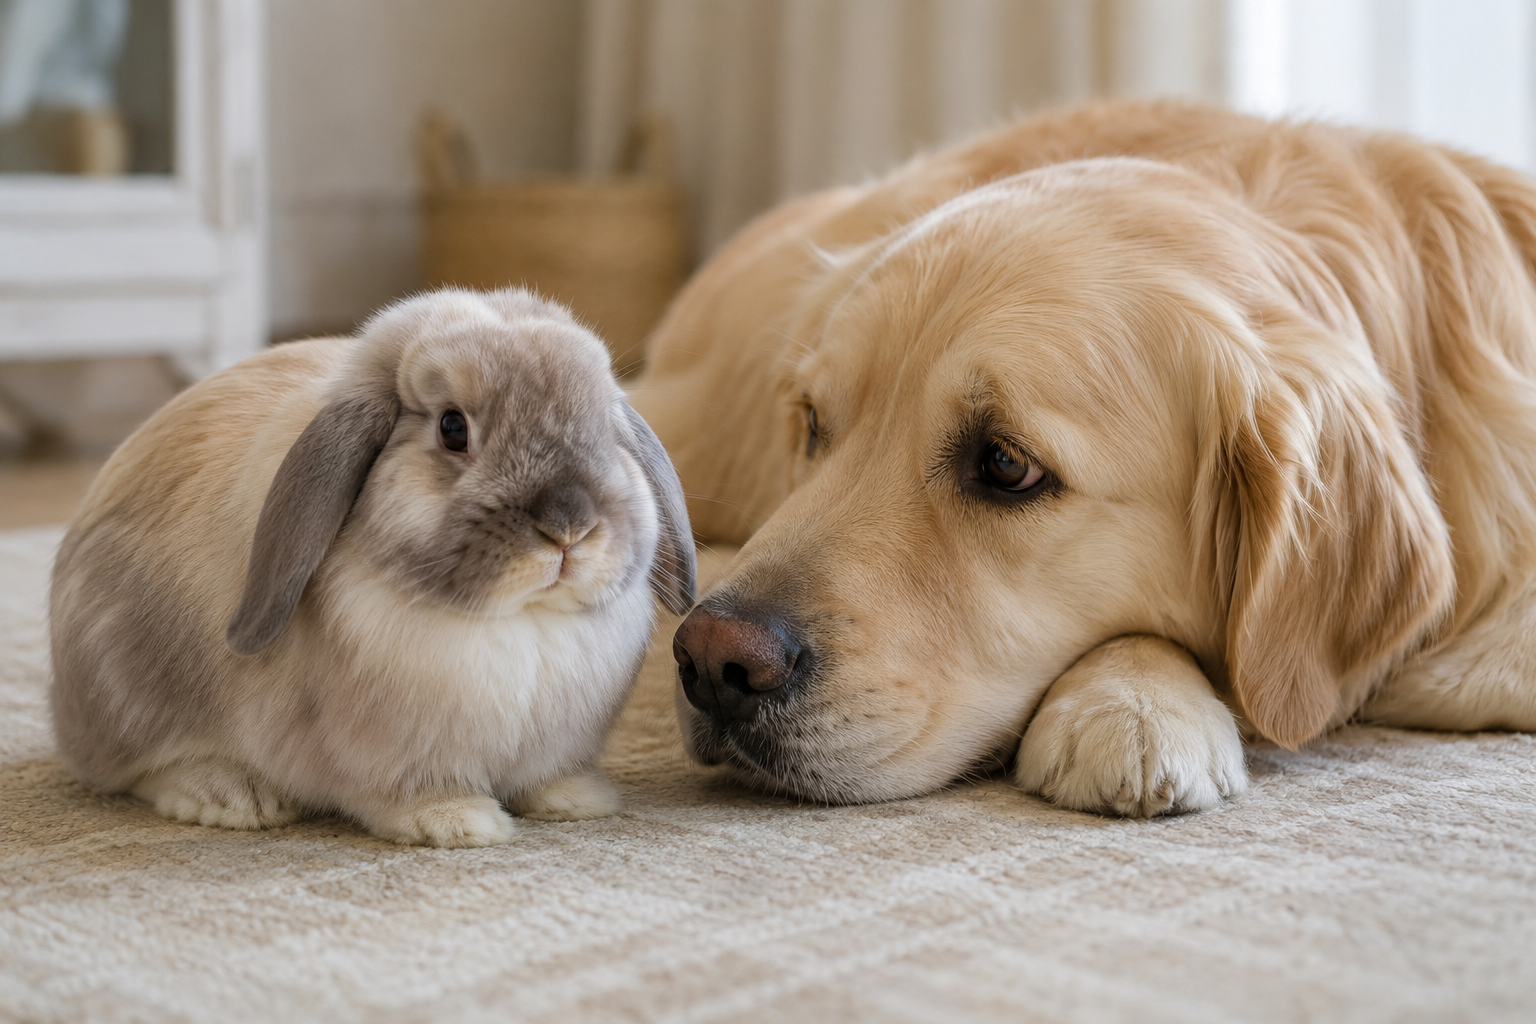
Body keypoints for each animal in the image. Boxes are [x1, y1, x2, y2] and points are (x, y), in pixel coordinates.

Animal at [49, 287, 696, 847]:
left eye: (607, 429)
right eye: (452, 428)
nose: (568, 527)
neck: (521, 619)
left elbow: (550, 776)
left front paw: (579, 800)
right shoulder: (398, 757)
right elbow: (410, 792)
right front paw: (459, 824)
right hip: (126, 689)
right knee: (134, 769)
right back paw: (231, 797)